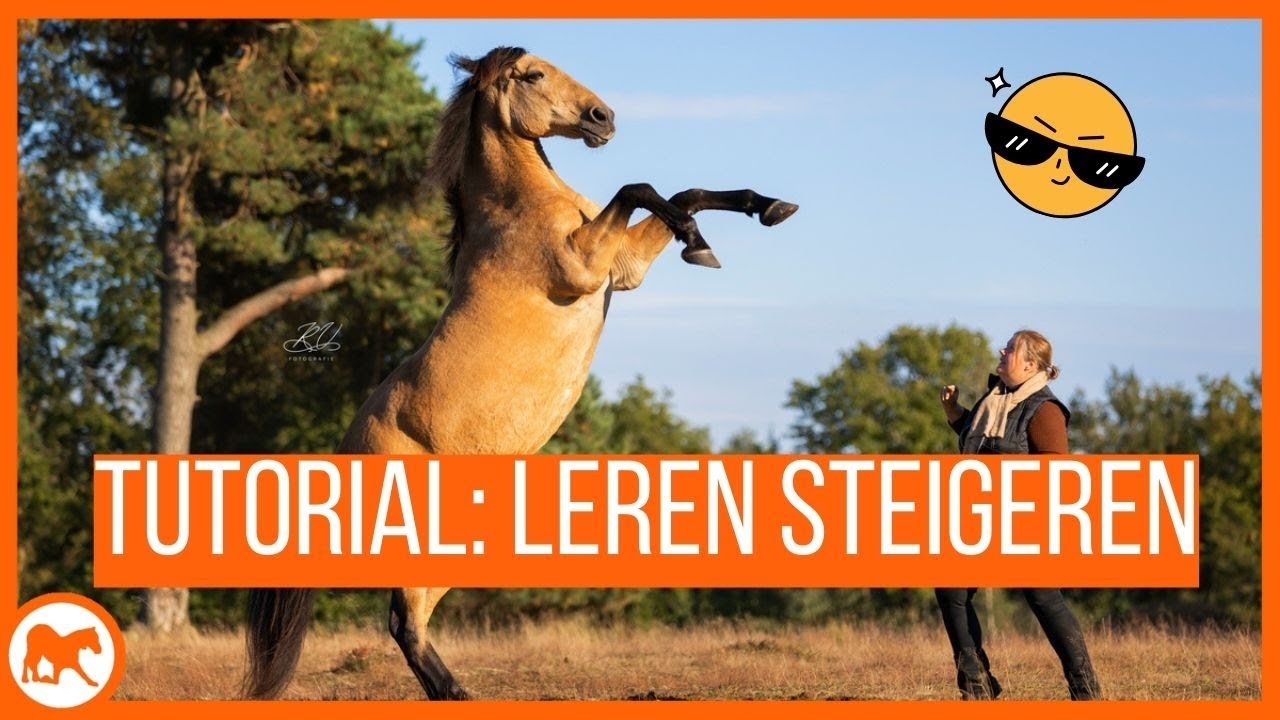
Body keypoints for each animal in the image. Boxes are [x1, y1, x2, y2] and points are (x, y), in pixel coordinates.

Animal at [244, 46, 798, 701]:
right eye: (533, 74)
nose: (604, 118)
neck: (518, 211)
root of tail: (340, 458)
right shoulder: (584, 263)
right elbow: (637, 186)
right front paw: (698, 238)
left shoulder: (623, 268)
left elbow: (682, 193)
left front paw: (759, 213)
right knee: (404, 622)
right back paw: (459, 694)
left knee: (410, 621)